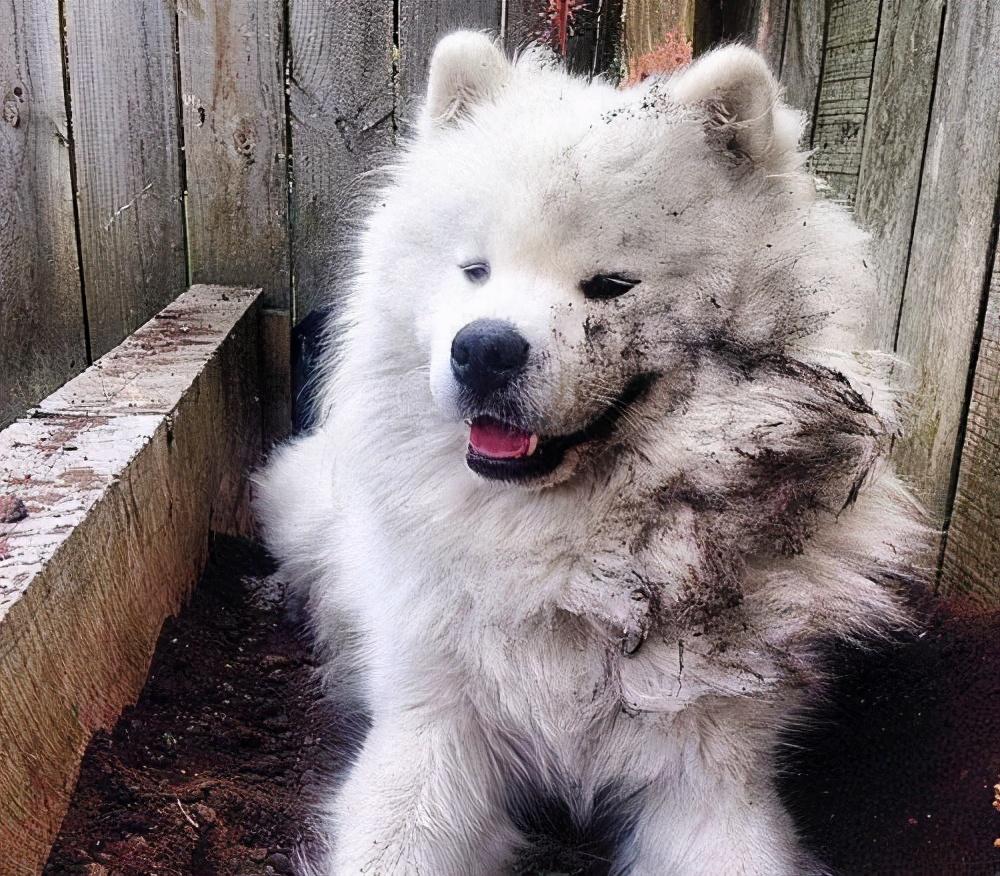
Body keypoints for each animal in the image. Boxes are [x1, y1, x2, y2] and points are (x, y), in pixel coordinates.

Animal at [258, 34, 928, 876]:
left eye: (611, 284)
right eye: (473, 270)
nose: (483, 350)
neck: (575, 559)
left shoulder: (709, 776)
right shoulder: (431, 732)